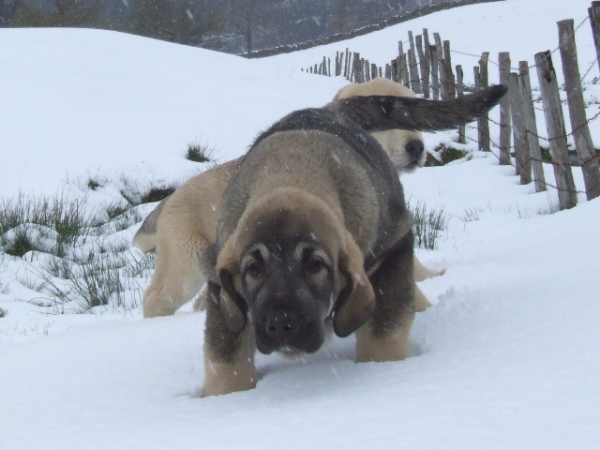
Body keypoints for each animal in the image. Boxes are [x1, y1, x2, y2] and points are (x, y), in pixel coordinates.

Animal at [136, 80, 442, 320]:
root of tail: (170, 198)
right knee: (156, 298)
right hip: (185, 262)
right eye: (388, 123)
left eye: (413, 120)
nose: (416, 147)